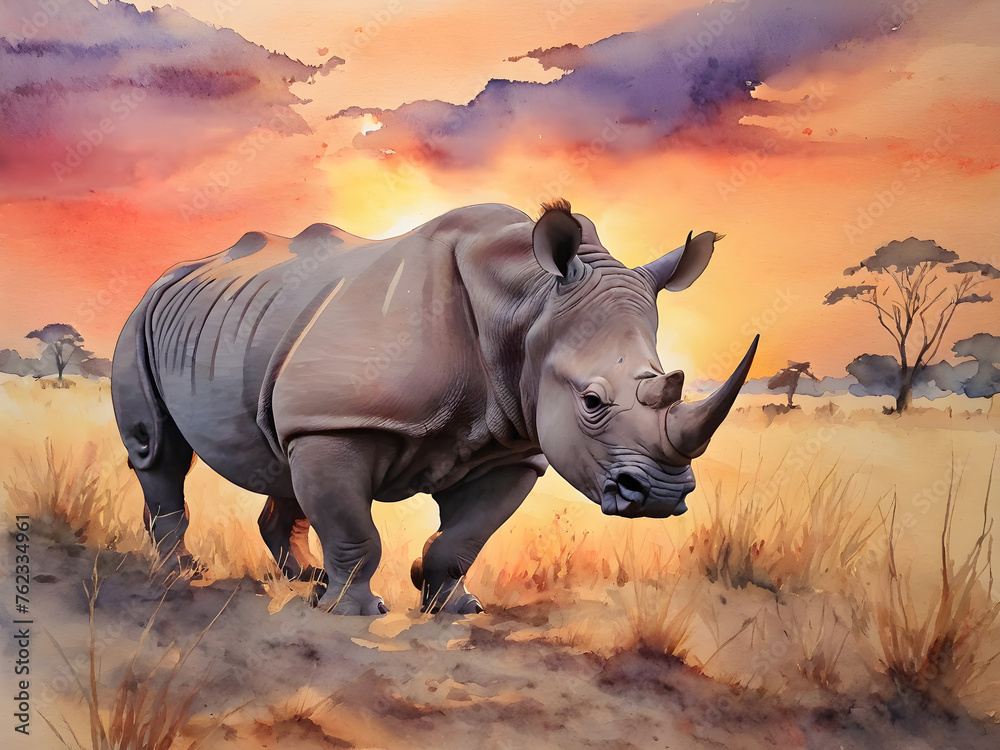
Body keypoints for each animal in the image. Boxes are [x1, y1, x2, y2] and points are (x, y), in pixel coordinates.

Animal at [112, 200, 757, 615]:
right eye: (592, 401)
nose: (662, 497)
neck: (524, 304)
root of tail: (177, 272)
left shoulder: (513, 446)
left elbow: (464, 538)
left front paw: (452, 604)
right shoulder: (341, 422)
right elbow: (356, 531)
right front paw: (352, 611)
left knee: (281, 454)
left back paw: (303, 579)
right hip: (141, 316)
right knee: (157, 451)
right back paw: (185, 574)